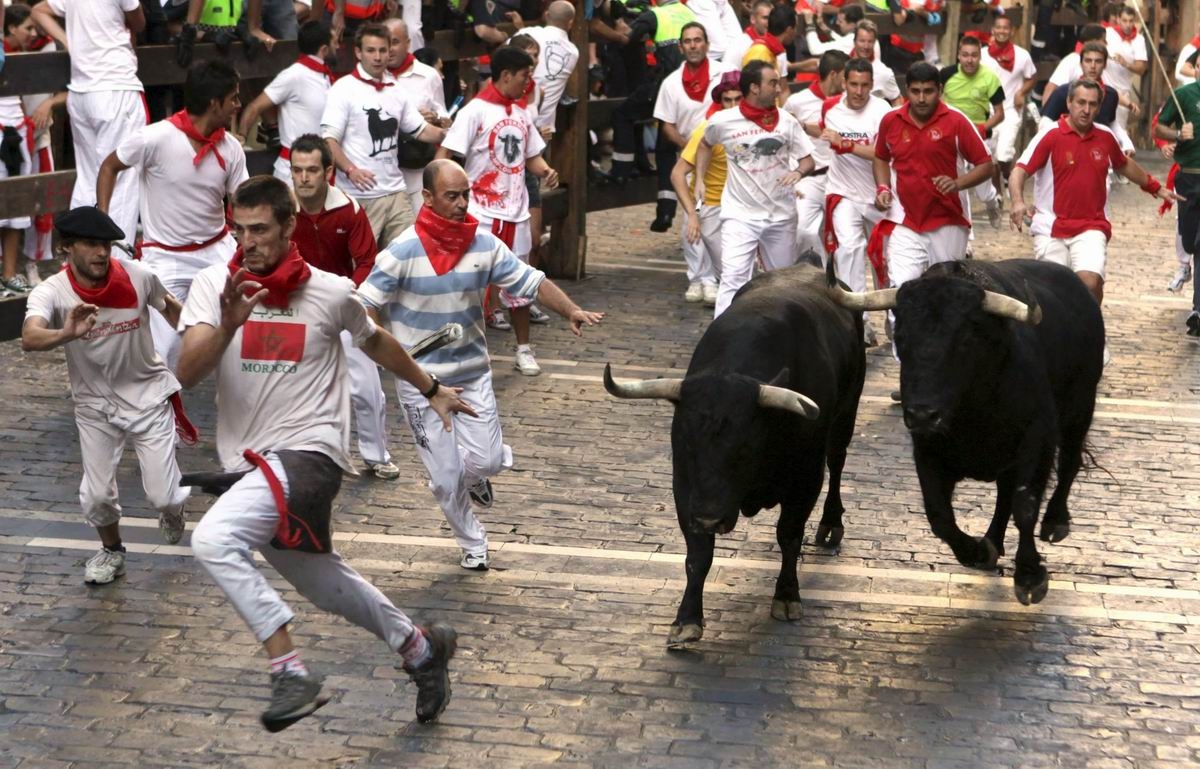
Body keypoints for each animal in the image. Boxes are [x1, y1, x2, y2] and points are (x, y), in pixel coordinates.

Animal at [830, 257, 1099, 604]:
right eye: (901, 338)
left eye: (965, 341)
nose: (922, 414)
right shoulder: (927, 451)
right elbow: (940, 517)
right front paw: (977, 551)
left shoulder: (1037, 442)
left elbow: (1025, 507)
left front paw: (1030, 576)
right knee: (1004, 494)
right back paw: (992, 541)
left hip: (1081, 409)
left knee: (1069, 463)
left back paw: (1055, 522)